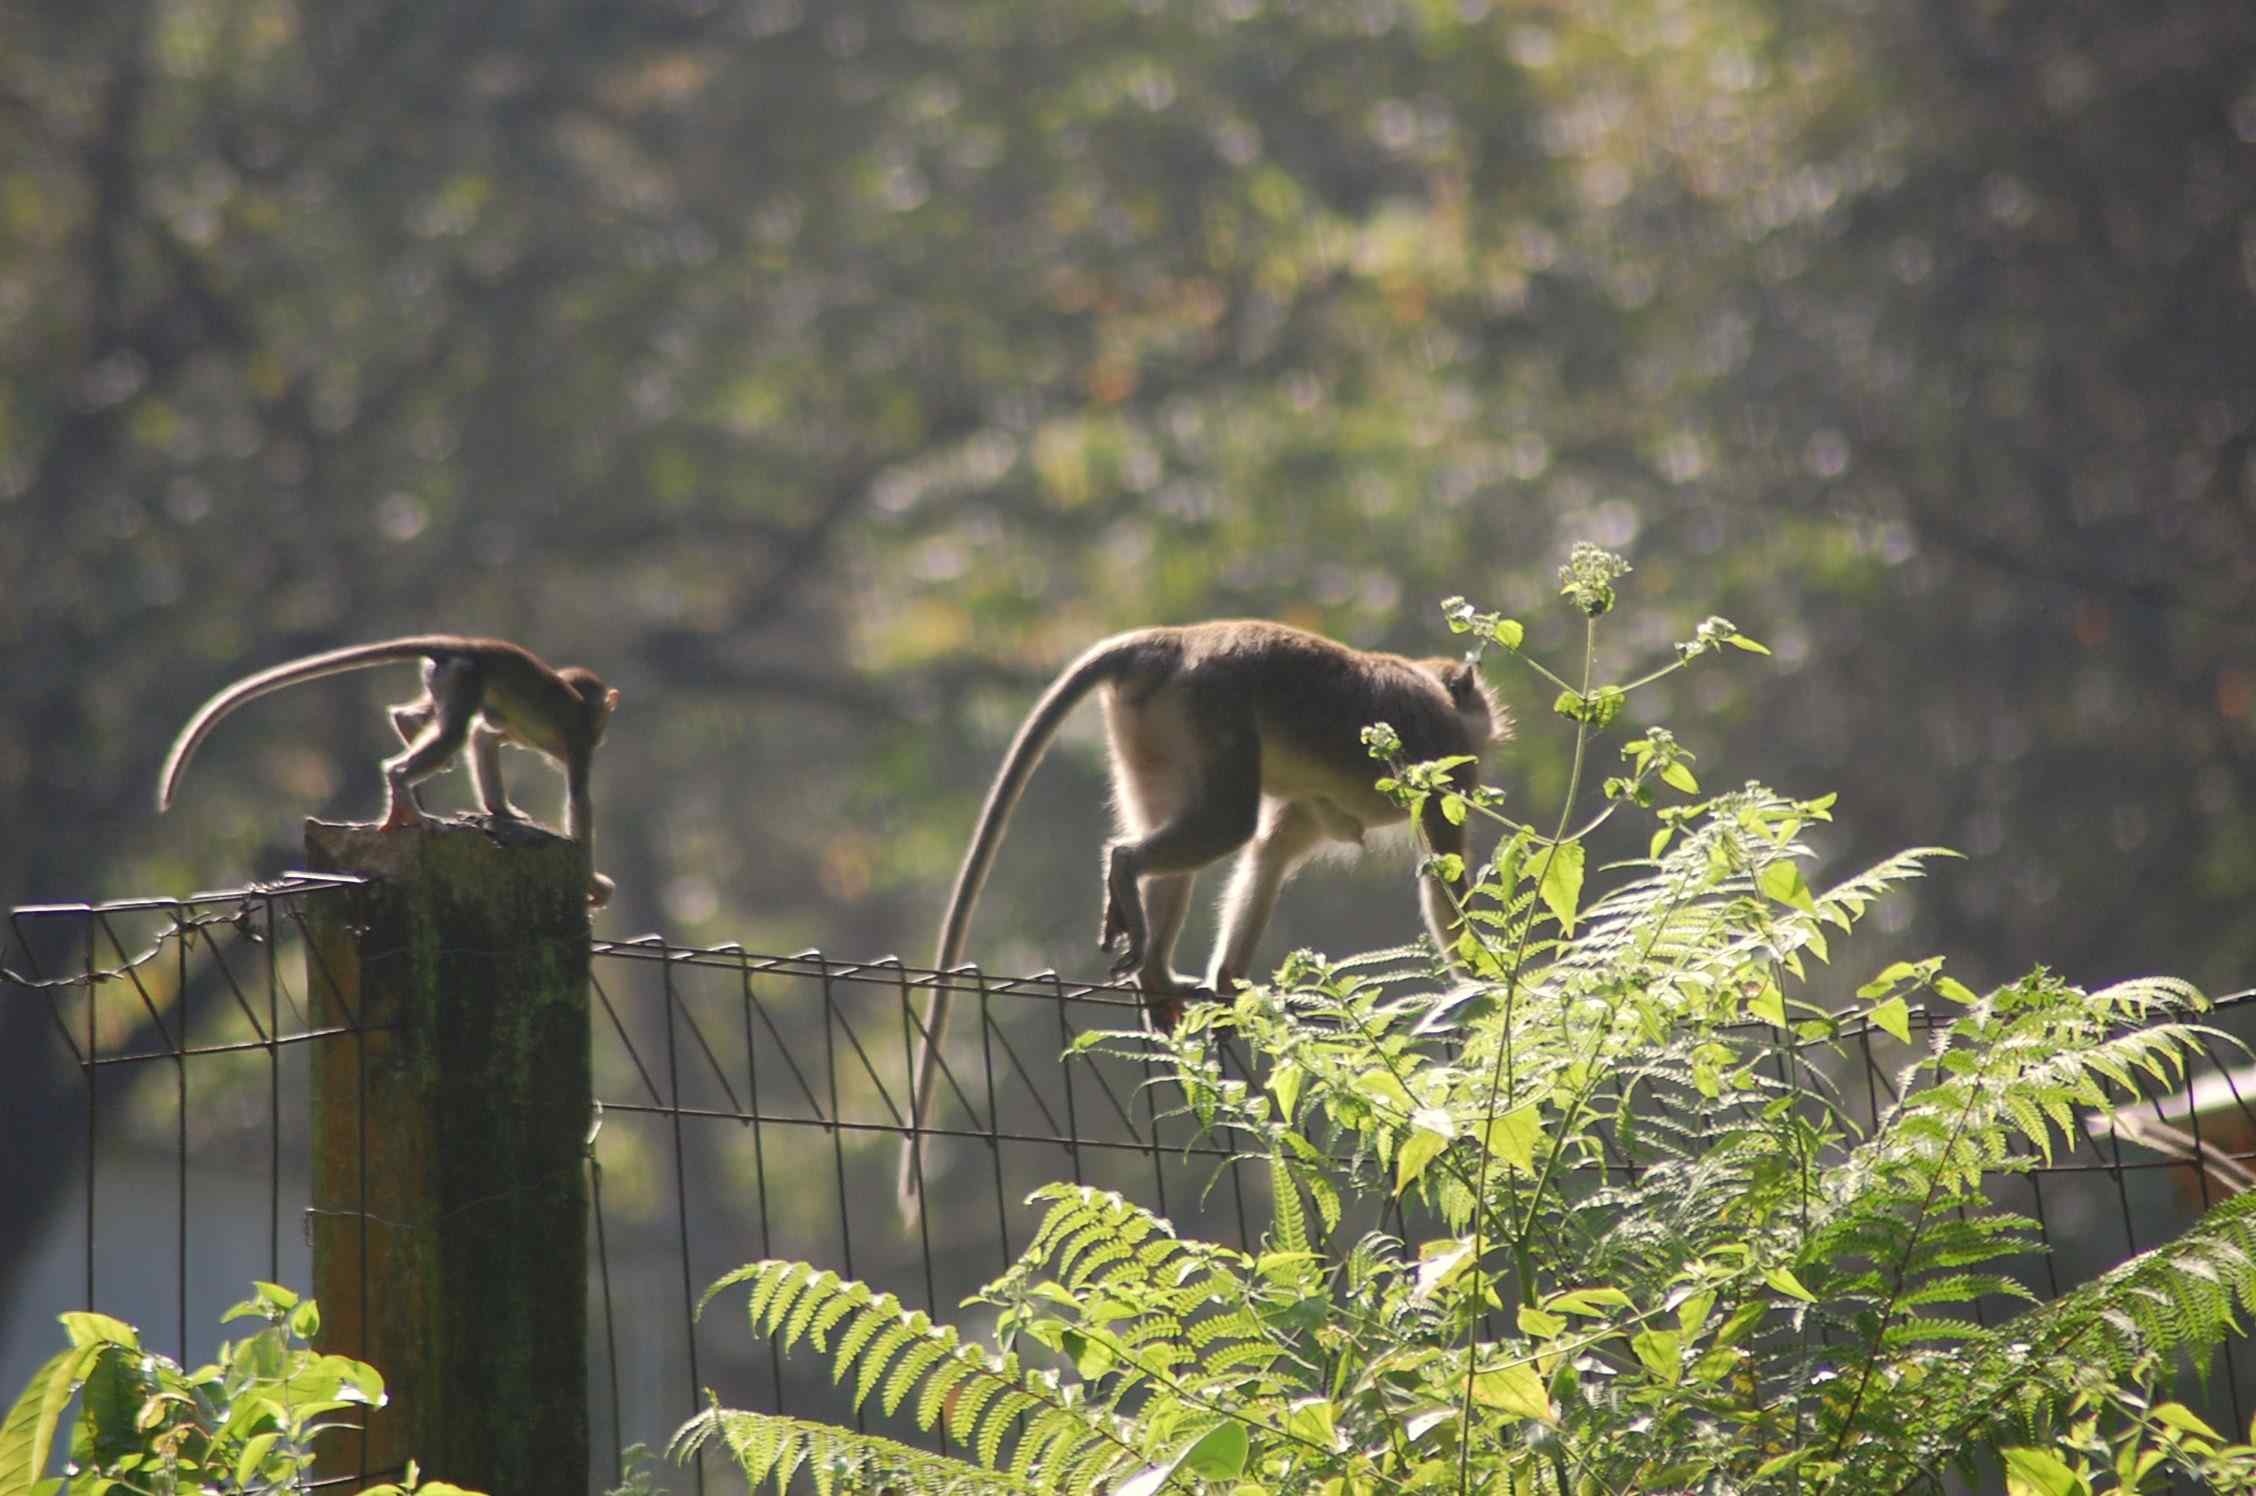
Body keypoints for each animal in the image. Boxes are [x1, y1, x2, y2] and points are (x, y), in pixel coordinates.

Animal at [157, 636, 620, 906]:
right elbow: (579, 801)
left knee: (450, 725)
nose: (603, 736)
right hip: (466, 678)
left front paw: (500, 810)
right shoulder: (579, 740)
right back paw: (402, 783)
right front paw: (592, 883)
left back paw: (408, 727)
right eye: (601, 724)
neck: (578, 703)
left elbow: (485, 739)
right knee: (451, 733)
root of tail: (469, 646)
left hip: (450, 680)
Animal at [899, 620, 1505, 1203]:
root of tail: (1173, 641)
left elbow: (1272, 852)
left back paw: (1153, 971)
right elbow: (1442, 877)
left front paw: (1230, 981)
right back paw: (1125, 870)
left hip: (1146, 729)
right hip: (1211, 706)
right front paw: (1486, 989)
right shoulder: (1444, 756)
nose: (1491, 734)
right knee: (1225, 820)